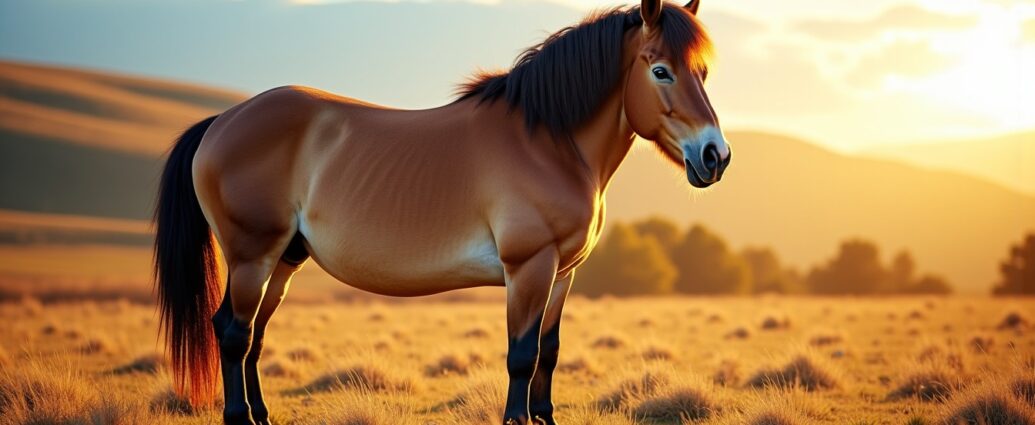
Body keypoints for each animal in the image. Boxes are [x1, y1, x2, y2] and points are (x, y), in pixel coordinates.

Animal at [153, 0, 730, 423]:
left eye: (703, 72)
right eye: (661, 71)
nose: (715, 156)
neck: (546, 142)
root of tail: (222, 121)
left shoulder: (563, 272)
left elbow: (548, 352)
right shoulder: (529, 268)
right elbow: (521, 356)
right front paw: (517, 419)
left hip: (284, 259)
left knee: (251, 335)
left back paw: (261, 415)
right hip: (252, 255)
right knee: (233, 333)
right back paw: (238, 417)